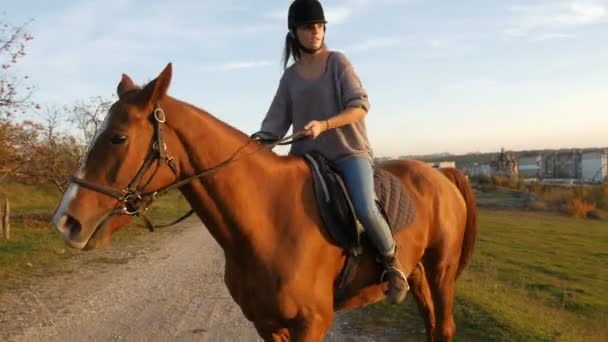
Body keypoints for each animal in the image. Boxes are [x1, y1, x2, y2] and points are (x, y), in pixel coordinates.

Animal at [52, 64, 478, 342]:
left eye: (119, 138)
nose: (65, 221)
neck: (269, 221)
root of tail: (441, 175)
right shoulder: (266, 324)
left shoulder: (311, 324)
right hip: (419, 270)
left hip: (440, 270)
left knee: (444, 327)